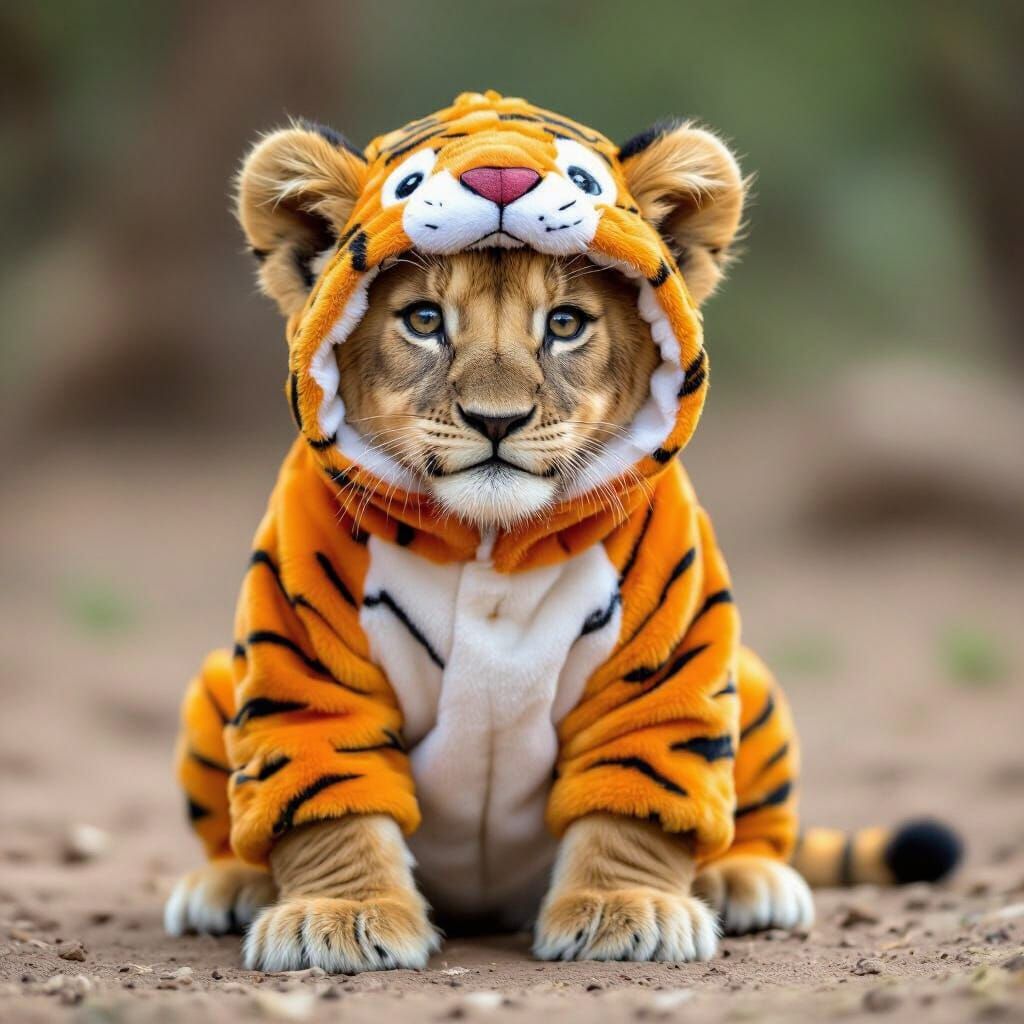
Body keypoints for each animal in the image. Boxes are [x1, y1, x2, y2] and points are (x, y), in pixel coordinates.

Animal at [164, 91, 961, 972]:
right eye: (424, 319)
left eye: (567, 324)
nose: (496, 420)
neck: (487, 541)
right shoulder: (302, 652)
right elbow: (326, 794)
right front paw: (341, 918)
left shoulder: (662, 655)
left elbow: (638, 792)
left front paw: (626, 911)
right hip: (217, 681)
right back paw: (229, 885)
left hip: (749, 682)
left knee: (748, 823)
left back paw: (744, 880)